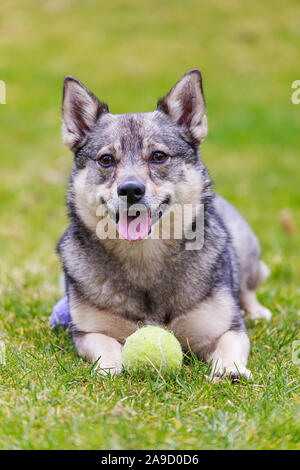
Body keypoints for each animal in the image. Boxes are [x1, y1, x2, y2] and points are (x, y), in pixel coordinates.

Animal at [56, 69, 272, 378]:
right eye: (106, 160)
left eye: (158, 156)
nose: (130, 190)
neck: (144, 257)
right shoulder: (89, 332)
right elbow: (106, 346)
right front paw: (108, 368)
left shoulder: (227, 329)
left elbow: (229, 347)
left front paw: (229, 371)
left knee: (247, 288)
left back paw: (257, 312)